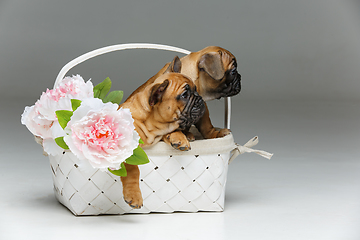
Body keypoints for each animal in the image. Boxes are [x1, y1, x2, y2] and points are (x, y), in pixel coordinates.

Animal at [119, 60, 205, 208]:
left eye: (196, 89)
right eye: (185, 95)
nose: (200, 99)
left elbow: (173, 130)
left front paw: (179, 138)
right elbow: (132, 169)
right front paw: (134, 195)